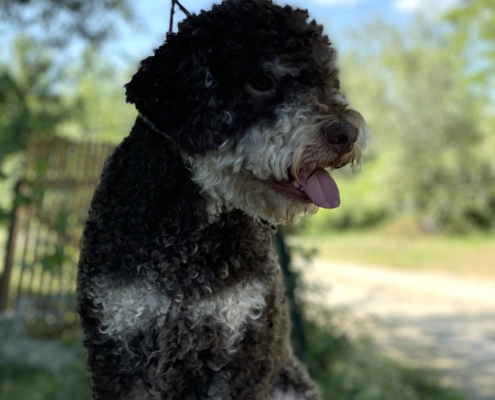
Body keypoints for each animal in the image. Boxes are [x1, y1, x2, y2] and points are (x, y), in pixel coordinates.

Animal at [76, 1, 368, 398]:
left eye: (327, 81)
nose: (347, 133)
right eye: (261, 81)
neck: (189, 241)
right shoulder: (120, 348)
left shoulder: (244, 349)